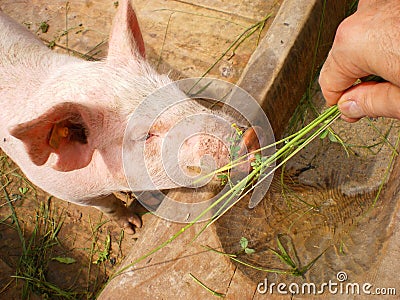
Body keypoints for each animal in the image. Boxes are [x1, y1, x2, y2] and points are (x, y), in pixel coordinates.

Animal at [0, 0, 260, 233]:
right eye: (145, 135)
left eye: (175, 89)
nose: (249, 137)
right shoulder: (67, 191)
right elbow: (107, 204)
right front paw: (134, 227)